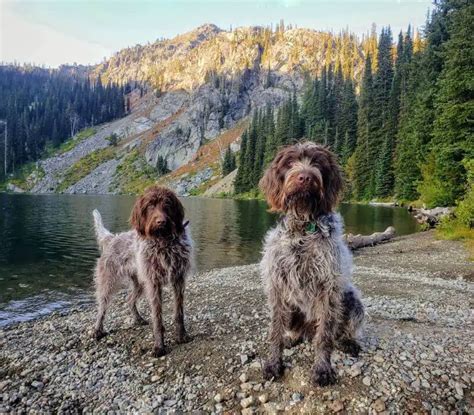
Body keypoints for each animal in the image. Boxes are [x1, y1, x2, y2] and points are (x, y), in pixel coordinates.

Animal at [92, 185, 193, 358]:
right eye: (150, 206)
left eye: (167, 204)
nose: (161, 221)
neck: (164, 241)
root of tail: (112, 238)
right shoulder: (153, 283)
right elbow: (157, 318)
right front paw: (159, 346)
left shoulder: (178, 279)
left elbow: (179, 313)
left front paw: (181, 336)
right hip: (109, 281)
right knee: (102, 307)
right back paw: (98, 329)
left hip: (139, 283)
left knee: (129, 300)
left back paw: (137, 318)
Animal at [260, 142, 362, 386]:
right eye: (290, 163)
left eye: (318, 163)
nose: (306, 177)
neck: (304, 229)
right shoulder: (277, 285)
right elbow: (275, 331)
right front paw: (274, 362)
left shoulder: (329, 287)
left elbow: (324, 335)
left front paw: (323, 368)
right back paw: (293, 337)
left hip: (353, 300)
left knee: (340, 330)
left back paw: (348, 341)